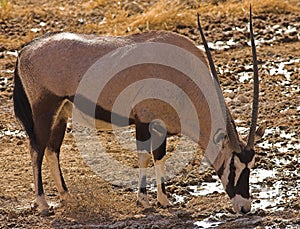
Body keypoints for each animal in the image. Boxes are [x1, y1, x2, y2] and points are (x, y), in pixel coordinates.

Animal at [12, 7, 264, 215]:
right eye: (232, 165)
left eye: (251, 166)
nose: (244, 208)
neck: (185, 77)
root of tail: (26, 50)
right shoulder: (144, 121)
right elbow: (144, 157)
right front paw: (143, 200)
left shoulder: (162, 127)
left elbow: (159, 158)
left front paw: (164, 200)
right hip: (45, 110)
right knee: (36, 150)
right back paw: (43, 204)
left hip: (61, 113)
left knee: (52, 150)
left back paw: (66, 195)